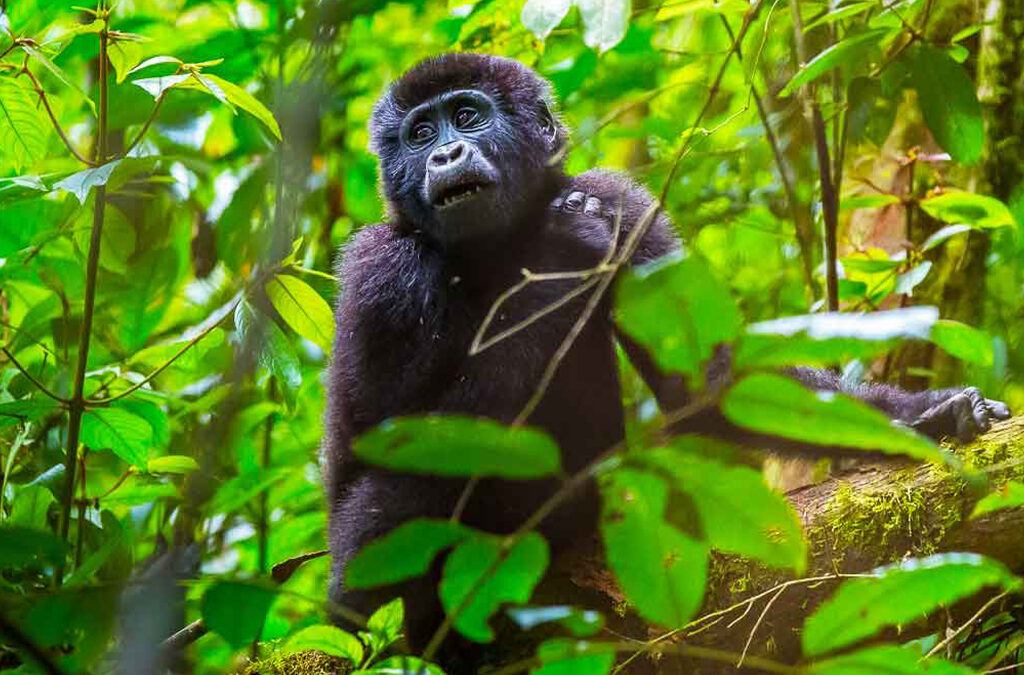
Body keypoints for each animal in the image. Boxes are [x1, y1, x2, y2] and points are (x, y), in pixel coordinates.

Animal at [321, 53, 1010, 662]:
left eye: (467, 116)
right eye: (419, 134)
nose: (443, 154)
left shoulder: (621, 201)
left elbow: (707, 384)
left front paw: (927, 415)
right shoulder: (382, 269)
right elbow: (388, 434)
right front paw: (562, 252)